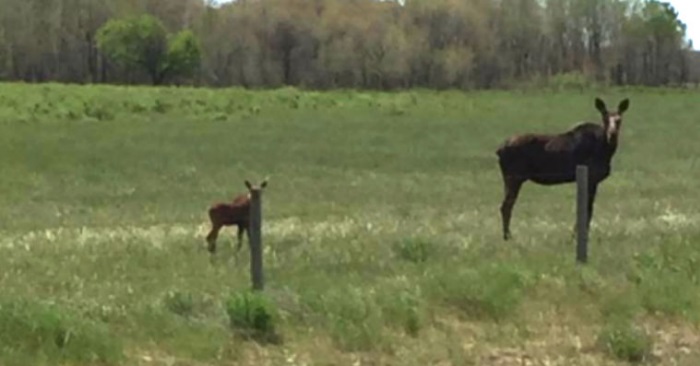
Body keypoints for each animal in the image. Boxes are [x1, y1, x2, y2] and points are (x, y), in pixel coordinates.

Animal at [494, 97, 632, 240]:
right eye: (605, 119)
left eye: (619, 120)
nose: (612, 134)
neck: (606, 151)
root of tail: (499, 150)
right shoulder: (592, 178)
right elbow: (588, 208)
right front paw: (578, 235)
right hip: (514, 178)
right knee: (506, 206)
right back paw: (507, 236)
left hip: (508, 179)